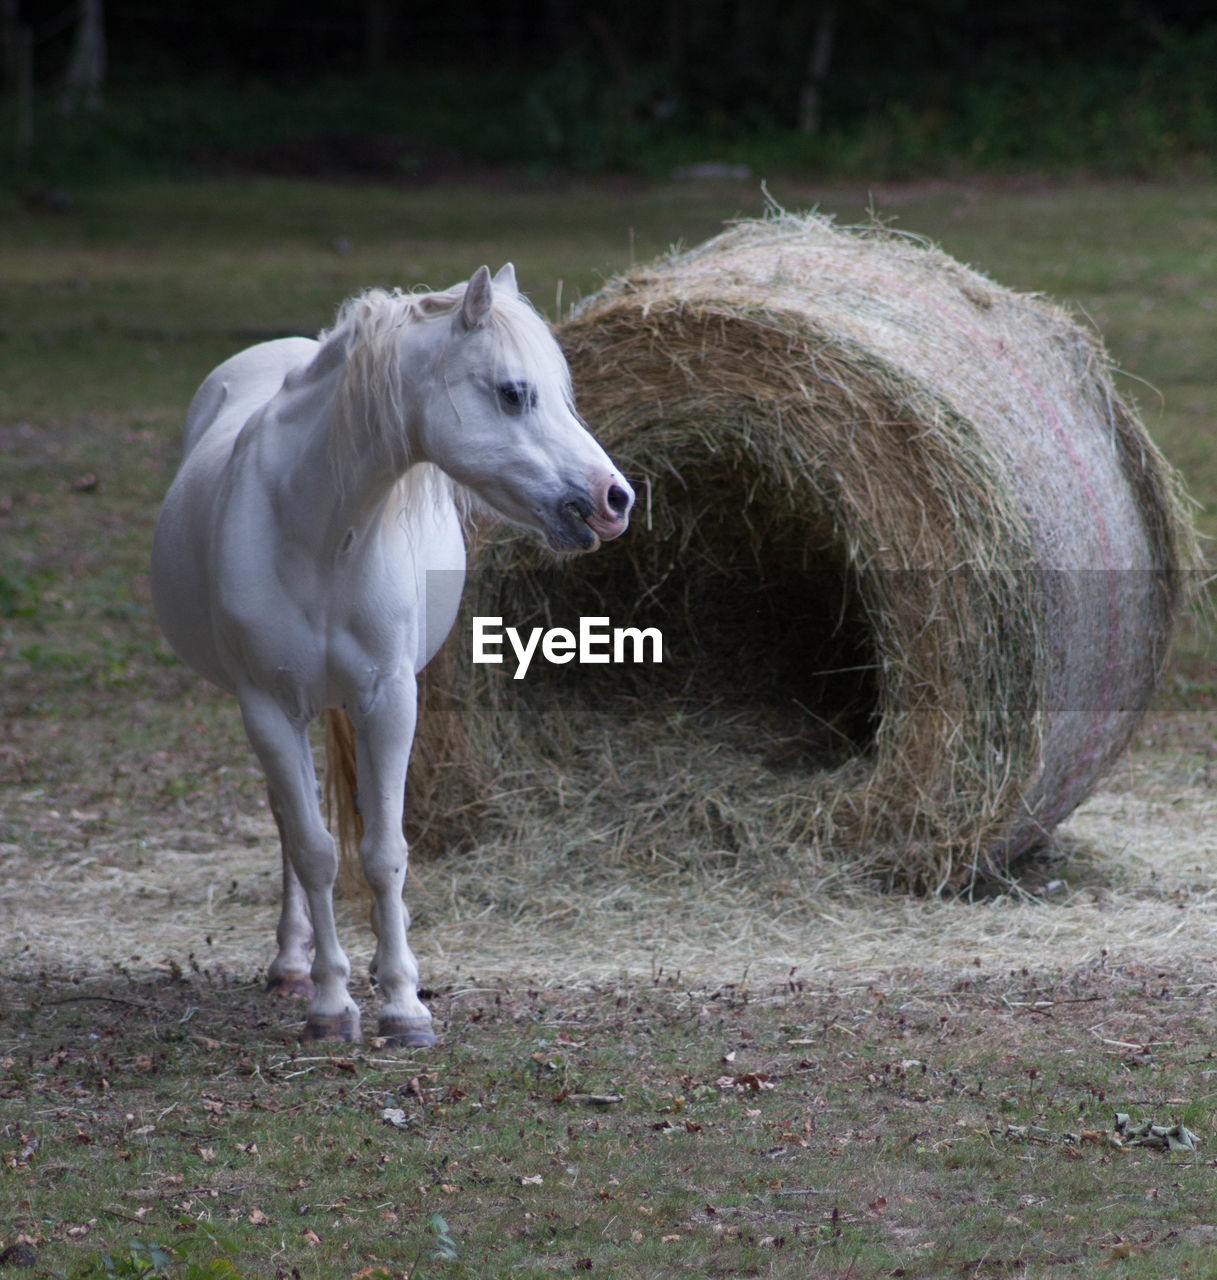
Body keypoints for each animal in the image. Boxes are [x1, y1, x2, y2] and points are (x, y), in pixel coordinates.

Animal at [149, 264, 637, 1044]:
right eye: (513, 392)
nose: (614, 499)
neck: (318, 535)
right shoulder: (268, 708)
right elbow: (316, 851)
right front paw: (330, 1005)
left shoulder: (387, 699)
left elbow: (384, 852)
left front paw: (404, 1004)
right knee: (290, 828)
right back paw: (292, 965)